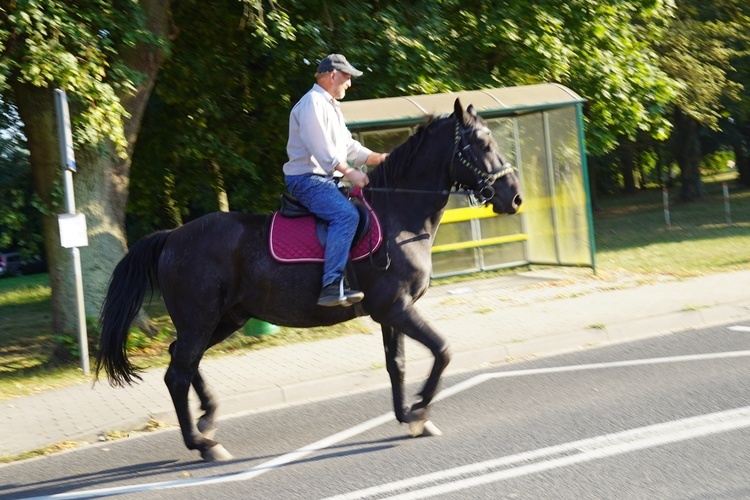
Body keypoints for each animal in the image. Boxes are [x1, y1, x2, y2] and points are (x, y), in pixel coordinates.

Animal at [97, 99, 524, 462]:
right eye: (482, 143)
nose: (515, 198)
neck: (397, 214)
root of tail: (171, 237)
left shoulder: (390, 313)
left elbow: (397, 365)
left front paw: (407, 415)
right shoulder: (396, 307)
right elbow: (443, 350)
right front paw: (419, 410)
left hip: (224, 319)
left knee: (183, 361)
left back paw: (208, 419)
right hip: (200, 319)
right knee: (177, 372)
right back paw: (203, 443)